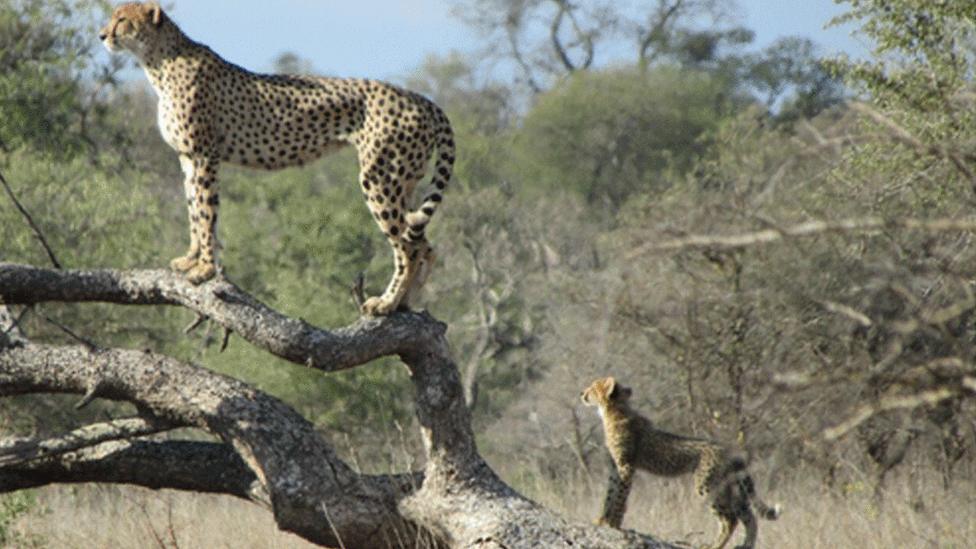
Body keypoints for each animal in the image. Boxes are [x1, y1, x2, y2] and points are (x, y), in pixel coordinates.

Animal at [99, 2, 454, 314]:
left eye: (122, 19)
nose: (102, 35)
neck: (158, 60)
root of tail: (420, 98)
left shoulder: (204, 156)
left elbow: (206, 214)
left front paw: (205, 270)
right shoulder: (187, 158)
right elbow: (193, 214)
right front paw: (190, 259)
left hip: (380, 179)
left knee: (408, 247)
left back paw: (386, 303)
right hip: (403, 182)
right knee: (425, 244)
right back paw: (407, 304)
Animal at [580, 374, 776, 548]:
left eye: (593, 386)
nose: (582, 393)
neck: (613, 410)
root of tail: (727, 449)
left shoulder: (626, 467)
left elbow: (620, 497)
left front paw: (613, 523)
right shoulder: (615, 468)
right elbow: (610, 495)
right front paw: (602, 520)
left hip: (707, 487)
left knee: (730, 519)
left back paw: (713, 546)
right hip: (730, 488)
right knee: (749, 515)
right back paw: (746, 545)